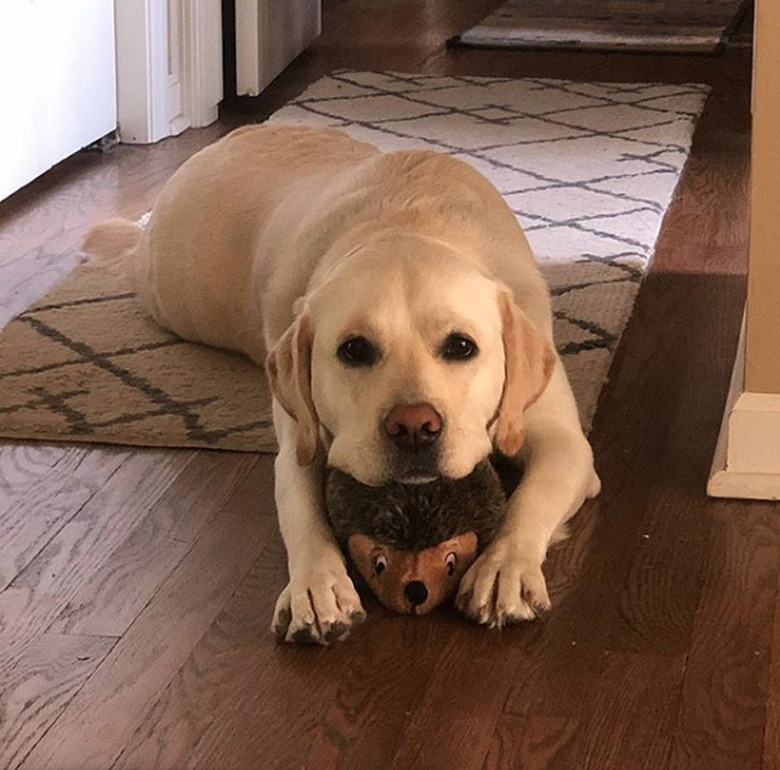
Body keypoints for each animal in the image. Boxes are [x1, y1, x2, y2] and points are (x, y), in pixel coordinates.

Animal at [84, 126, 596, 640]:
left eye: (461, 346)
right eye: (354, 349)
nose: (415, 427)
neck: (409, 222)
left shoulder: (564, 441)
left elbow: (532, 497)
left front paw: (503, 569)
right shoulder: (300, 441)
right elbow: (298, 507)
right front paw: (316, 586)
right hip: (176, 292)